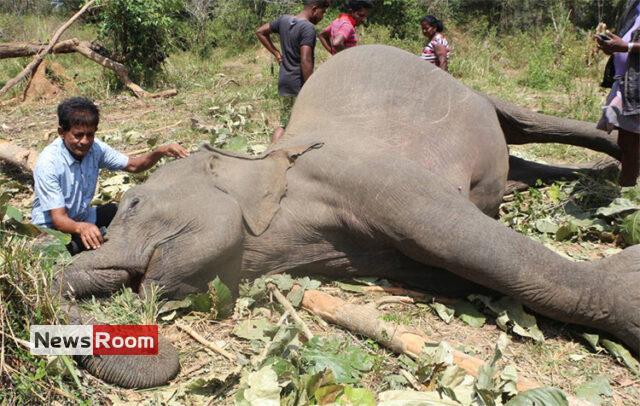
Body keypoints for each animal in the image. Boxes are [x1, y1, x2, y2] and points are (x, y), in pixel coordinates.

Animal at [54, 45, 638, 389]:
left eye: (133, 204)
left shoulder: (361, 173)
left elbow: (465, 239)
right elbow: (455, 270)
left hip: (464, 87)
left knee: (523, 121)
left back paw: (620, 163)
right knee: (518, 162)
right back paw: (601, 175)